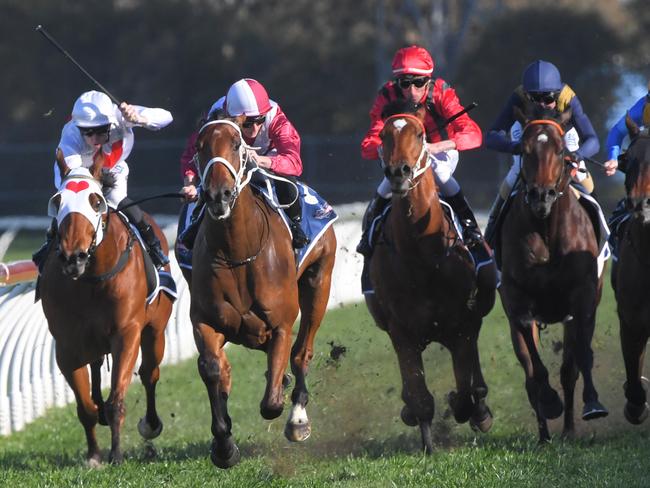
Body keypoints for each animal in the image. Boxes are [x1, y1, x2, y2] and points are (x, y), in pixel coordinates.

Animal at [39, 153, 173, 466]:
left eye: (96, 201)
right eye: (57, 201)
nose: (73, 257)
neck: (92, 279)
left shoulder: (127, 334)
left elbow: (117, 399)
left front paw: (116, 454)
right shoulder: (67, 344)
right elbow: (85, 405)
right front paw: (94, 455)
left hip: (155, 330)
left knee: (149, 373)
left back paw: (151, 424)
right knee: (98, 365)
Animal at [189, 116, 334, 468]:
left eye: (236, 144)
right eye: (200, 146)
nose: (219, 195)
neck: (238, 250)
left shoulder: (280, 323)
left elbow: (271, 402)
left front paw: (288, 406)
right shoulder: (205, 321)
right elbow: (213, 368)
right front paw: (224, 445)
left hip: (318, 283)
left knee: (302, 351)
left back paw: (297, 416)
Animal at [362, 103, 494, 454]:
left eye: (421, 134)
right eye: (384, 134)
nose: (399, 172)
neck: (422, 255)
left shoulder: (461, 324)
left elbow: (464, 393)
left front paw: (470, 407)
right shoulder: (402, 330)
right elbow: (419, 394)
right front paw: (427, 443)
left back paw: (481, 407)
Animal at [496, 108, 608, 444]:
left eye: (560, 151)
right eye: (524, 150)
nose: (541, 196)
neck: (547, 229)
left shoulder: (583, 298)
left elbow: (579, 358)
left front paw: (592, 404)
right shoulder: (519, 302)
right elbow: (535, 368)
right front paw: (549, 401)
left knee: (569, 370)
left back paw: (569, 430)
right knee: (530, 374)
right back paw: (545, 434)